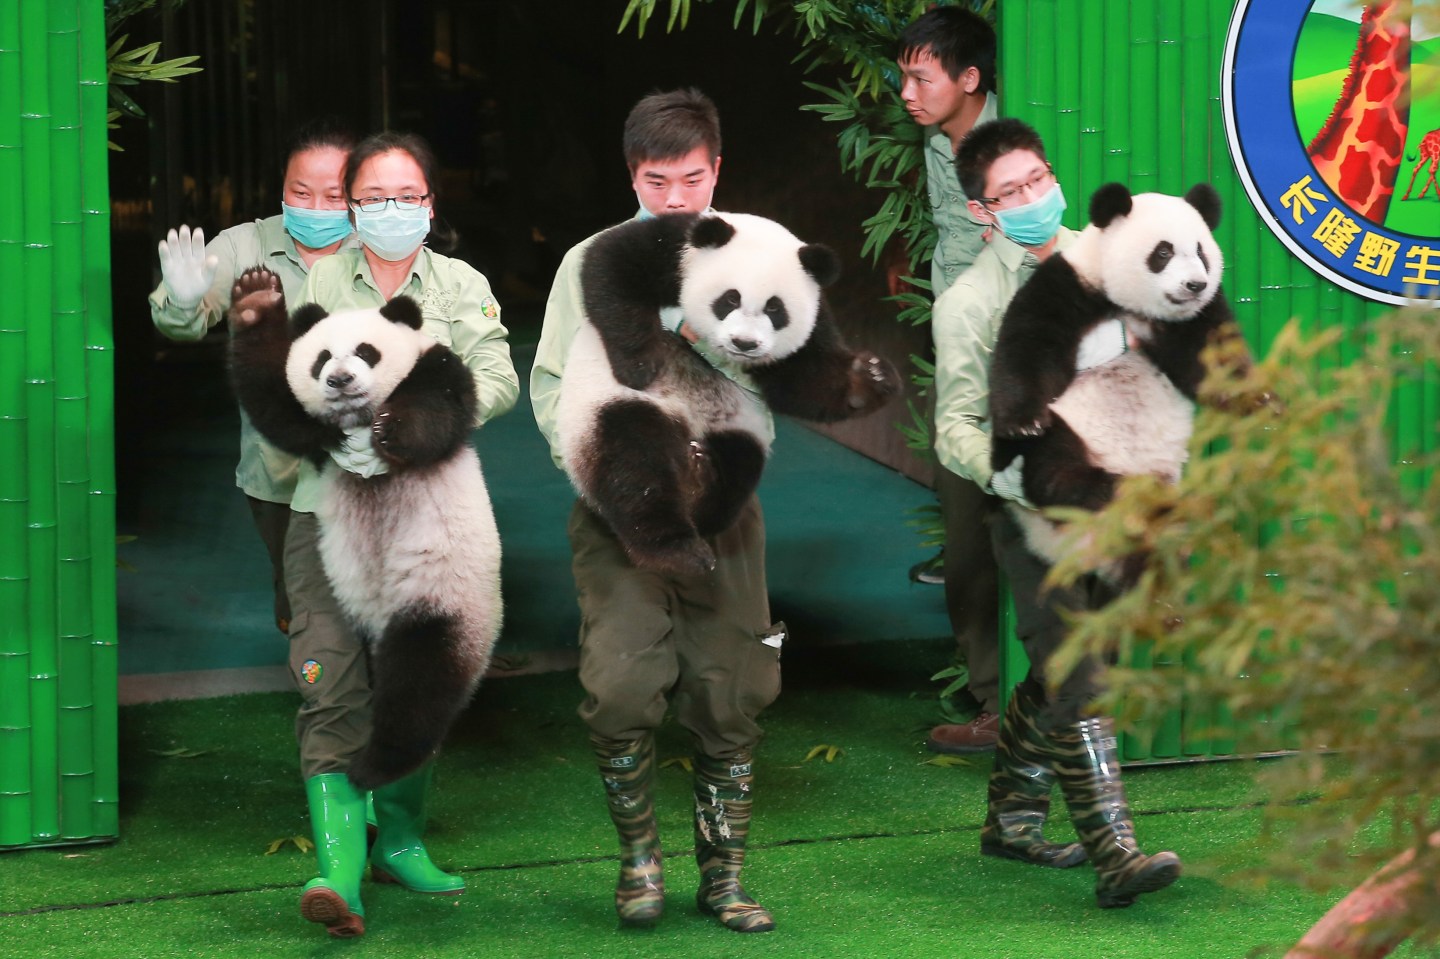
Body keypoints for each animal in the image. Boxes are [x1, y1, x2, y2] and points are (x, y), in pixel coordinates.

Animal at [226, 268, 502, 790]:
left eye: (366, 351)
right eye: (321, 359)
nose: (340, 380)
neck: (356, 419)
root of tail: (378, 623)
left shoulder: (435, 369)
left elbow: (439, 412)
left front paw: (393, 431)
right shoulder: (308, 425)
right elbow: (276, 401)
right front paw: (255, 300)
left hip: (443, 592)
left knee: (422, 674)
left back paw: (380, 763)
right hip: (337, 596)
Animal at [557, 211, 900, 577]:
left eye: (775, 309)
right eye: (730, 298)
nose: (744, 343)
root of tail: (688, 432)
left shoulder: (813, 319)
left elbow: (805, 379)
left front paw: (871, 377)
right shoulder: (675, 251)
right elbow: (612, 264)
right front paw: (639, 364)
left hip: (737, 431)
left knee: (736, 469)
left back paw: (701, 490)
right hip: (608, 408)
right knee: (634, 461)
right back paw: (674, 550)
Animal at [988, 182, 1250, 584]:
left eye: (1201, 252)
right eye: (1163, 252)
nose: (1195, 285)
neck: (1134, 309)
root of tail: (1088, 553)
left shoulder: (1196, 317)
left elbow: (1213, 356)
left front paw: (1260, 399)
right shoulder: (1071, 284)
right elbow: (1030, 342)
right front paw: (1023, 423)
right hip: (1072, 429)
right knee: (1050, 466)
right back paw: (1106, 486)